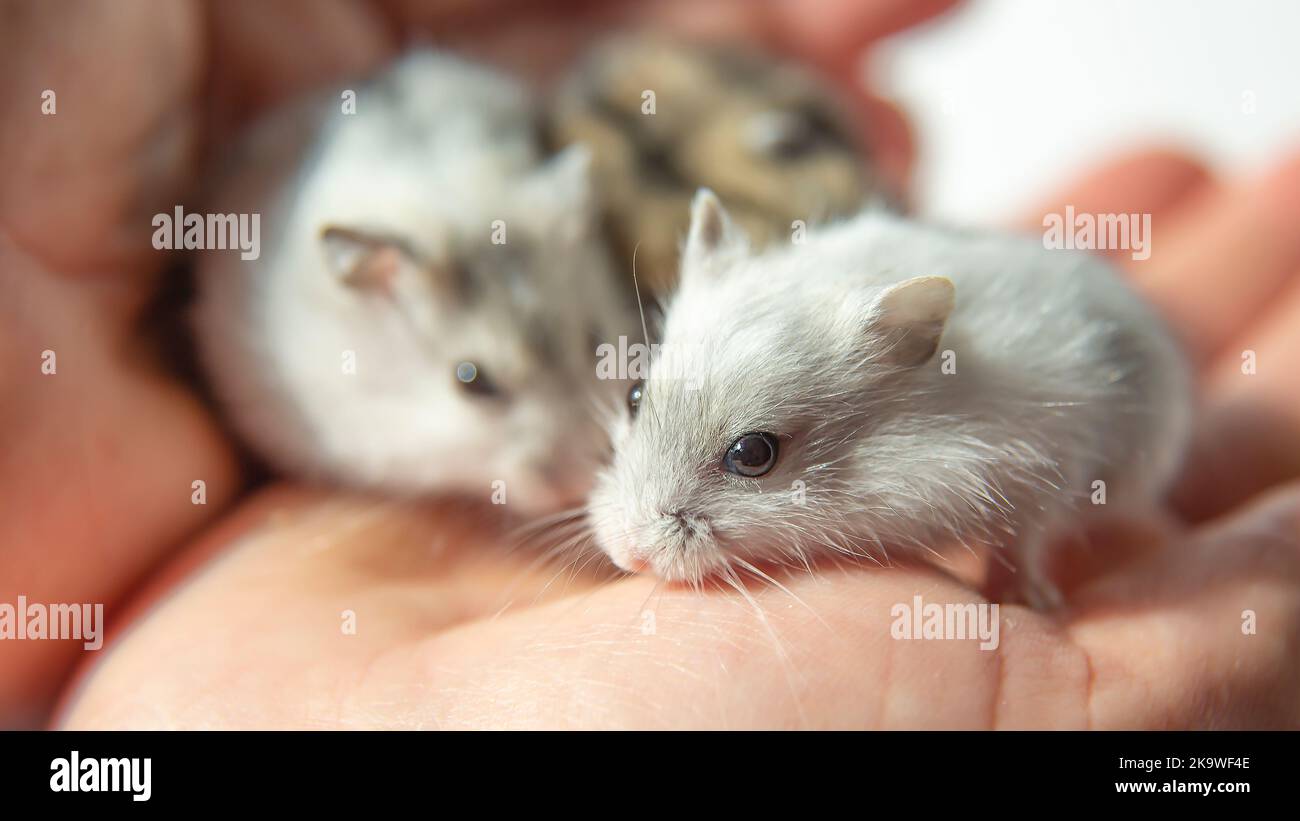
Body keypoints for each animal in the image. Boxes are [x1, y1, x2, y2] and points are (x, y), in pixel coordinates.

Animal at [587, 190, 1191, 606]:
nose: (628, 555)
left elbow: (1026, 539)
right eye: (634, 395)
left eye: (753, 454)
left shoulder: (1054, 463)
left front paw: (1028, 600)